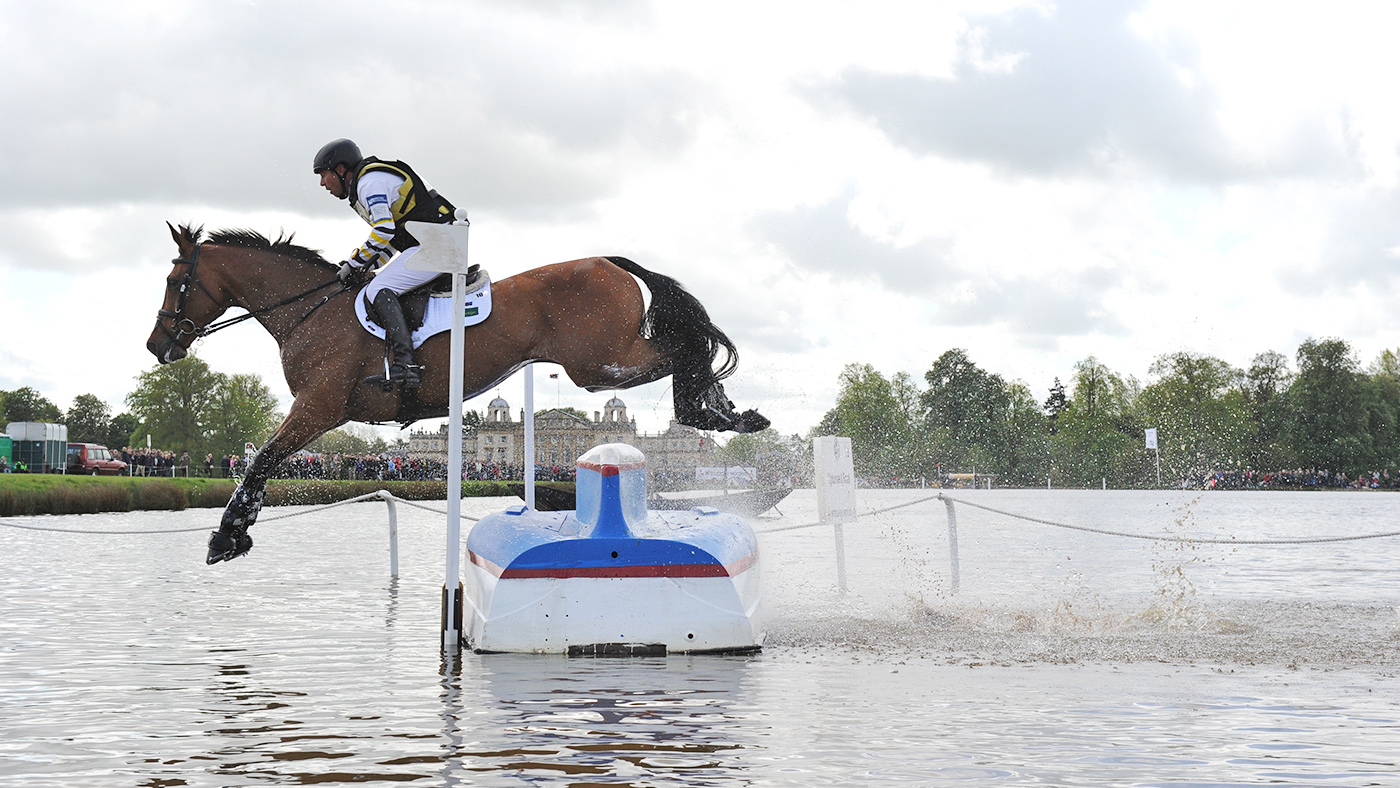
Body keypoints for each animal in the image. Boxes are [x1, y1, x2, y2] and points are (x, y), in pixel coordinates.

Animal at [146, 223, 769, 564]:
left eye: (176, 281)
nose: (157, 345)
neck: (313, 311)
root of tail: (606, 259)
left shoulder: (319, 407)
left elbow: (261, 462)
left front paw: (227, 536)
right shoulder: (321, 412)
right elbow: (264, 461)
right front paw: (232, 533)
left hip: (600, 363)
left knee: (685, 351)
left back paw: (717, 412)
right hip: (601, 362)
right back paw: (724, 412)